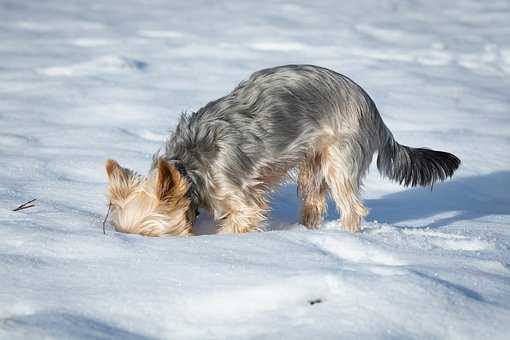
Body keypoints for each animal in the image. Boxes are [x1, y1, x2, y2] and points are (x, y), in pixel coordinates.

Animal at [104, 63, 462, 236]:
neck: (188, 169)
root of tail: (372, 106)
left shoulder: (241, 200)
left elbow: (239, 221)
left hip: (339, 157)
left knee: (352, 207)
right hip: (311, 161)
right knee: (314, 200)